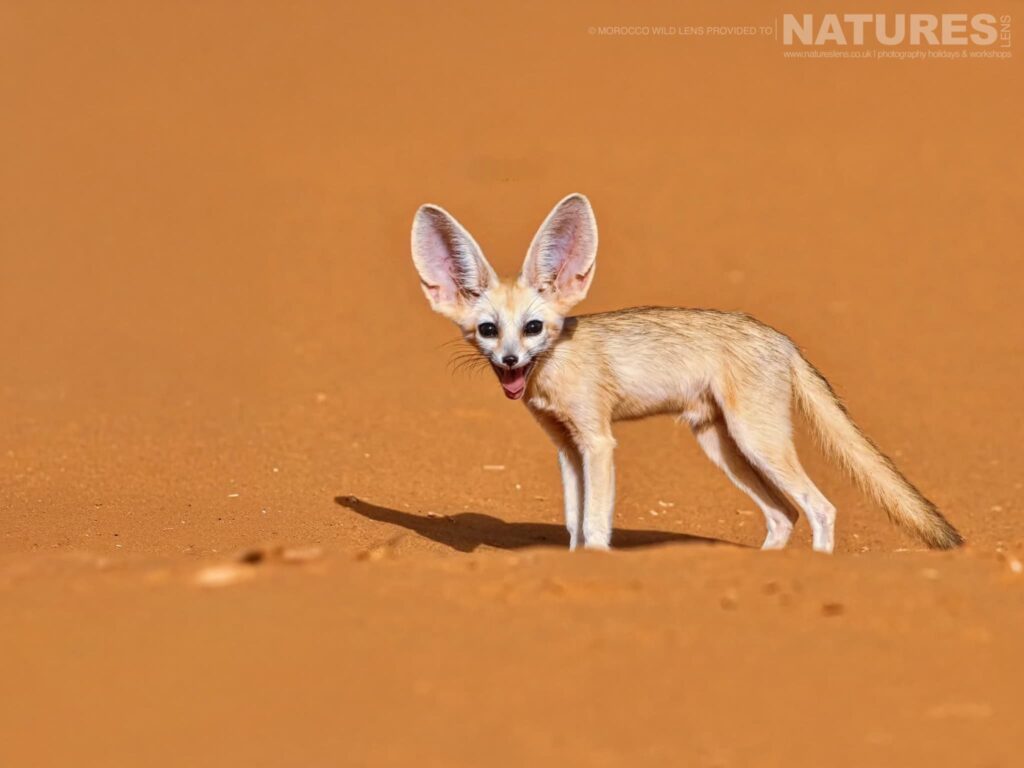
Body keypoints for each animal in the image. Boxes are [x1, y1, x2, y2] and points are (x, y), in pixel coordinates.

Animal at [409, 193, 963, 553]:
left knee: (819, 508)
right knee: (783, 516)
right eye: (487, 330)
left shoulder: (598, 441)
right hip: (721, 445)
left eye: (533, 328)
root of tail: (780, 337)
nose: (509, 362)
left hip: (756, 440)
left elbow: (594, 527)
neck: (557, 364)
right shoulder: (566, 446)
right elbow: (571, 525)